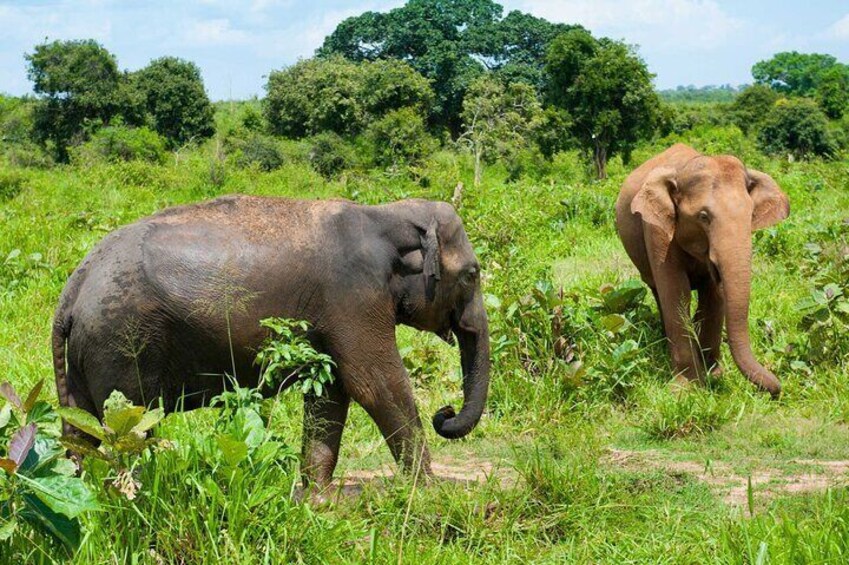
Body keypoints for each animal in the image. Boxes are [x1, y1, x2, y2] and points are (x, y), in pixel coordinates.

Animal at [53, 194, 490, 484]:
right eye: (472, 274)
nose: (445, 413)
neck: (386, 212)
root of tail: (74, 287)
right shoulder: (354, 296)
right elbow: (375, 384)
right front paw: (428, 491)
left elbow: (331, 390)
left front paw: (316, 499)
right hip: (122, 343)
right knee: (131, 428)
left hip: (88, 354)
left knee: (81, 429)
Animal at [616, 143, 788, 394]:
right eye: (703, 216)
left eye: (751, 215)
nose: (776, 390)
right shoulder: (657, 229)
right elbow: (676, 293)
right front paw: (686, 388)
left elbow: (714, 295)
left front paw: (713, 375)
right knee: (658, 291)